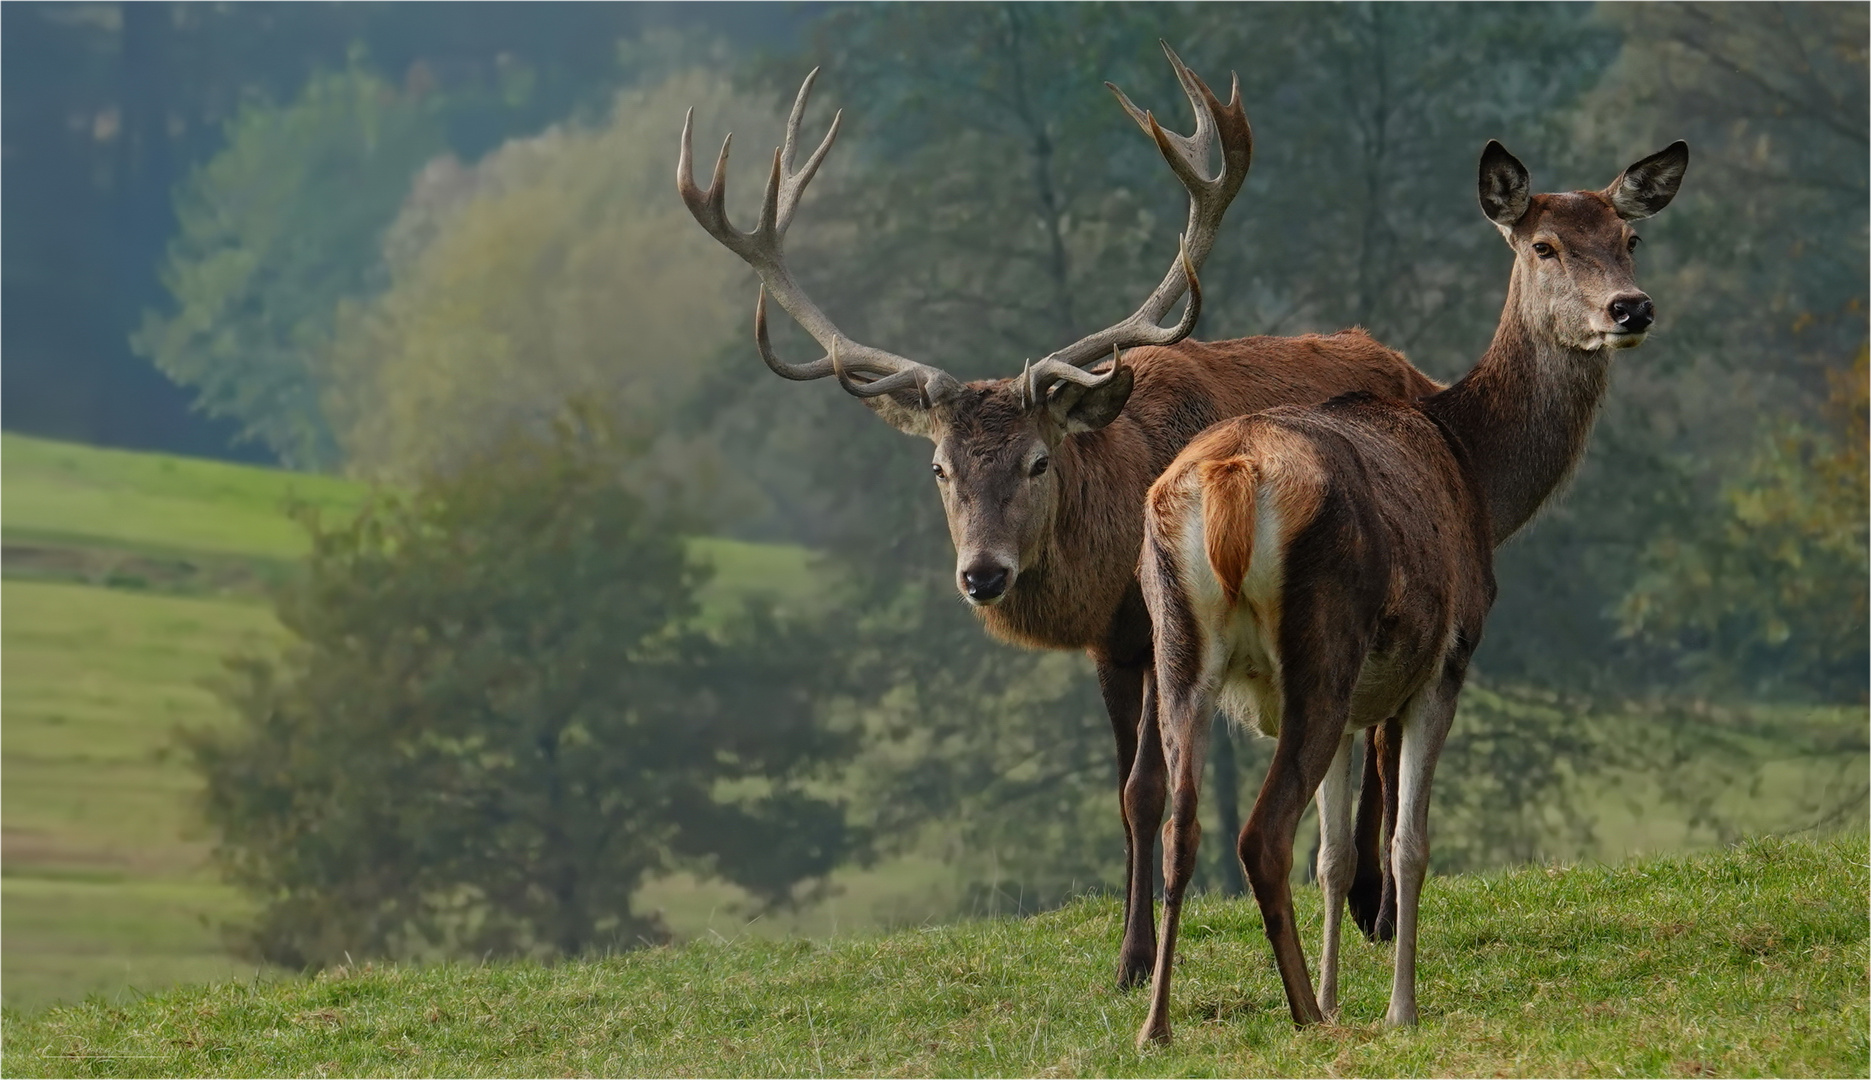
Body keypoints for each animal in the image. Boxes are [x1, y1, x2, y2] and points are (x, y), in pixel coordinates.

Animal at [681, 46, 1436, 988]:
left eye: (1038, 461)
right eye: (938, 468)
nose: (982, 572)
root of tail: (1406, 366)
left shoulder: (1154, 629)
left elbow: (1151, 784)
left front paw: (1137, 956)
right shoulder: (1109, 647)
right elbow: (1124, 791)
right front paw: (1129, 945)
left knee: (1379, 727)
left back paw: (1376, 904)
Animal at [1130, 136, 1691, 1033]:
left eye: (1628, 238)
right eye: (1544, 246)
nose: (1628, 309)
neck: (1476, 474)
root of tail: (1229, 480)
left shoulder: (1361, 699)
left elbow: (1333, 855)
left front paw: (1342, 990)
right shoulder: (1447, 656)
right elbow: (1405, 843)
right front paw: (1398, 1010)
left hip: (1177, 643)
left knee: (1185, 829)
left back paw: (1159, 1026)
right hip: (1320, 642)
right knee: (1261, 834)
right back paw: (1304, 1017)